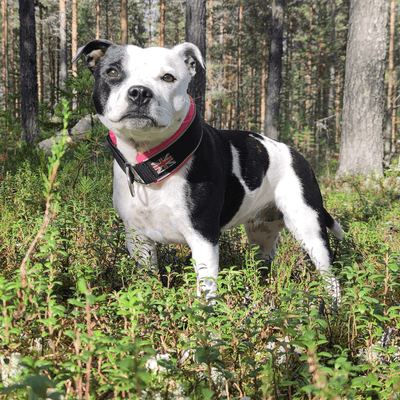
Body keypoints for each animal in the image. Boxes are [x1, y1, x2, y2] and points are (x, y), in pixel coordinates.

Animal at [72, 41, 344, 304]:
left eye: (168, 77)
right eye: (112, 72)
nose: (139, 91)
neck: (153, 162)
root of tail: (297, 155)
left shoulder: (203, 238)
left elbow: (206, 290)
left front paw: (205, 318)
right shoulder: (138, 239)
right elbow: (147, 280)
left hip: (309, 228)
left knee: (329, 275)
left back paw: (331, 307)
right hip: (262, 235)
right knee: (263, 268)